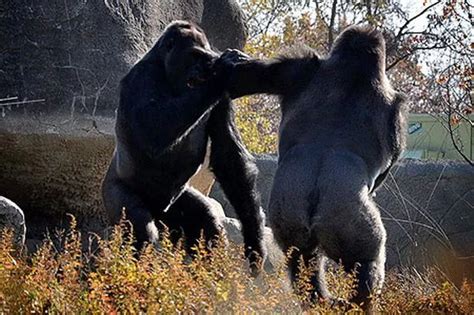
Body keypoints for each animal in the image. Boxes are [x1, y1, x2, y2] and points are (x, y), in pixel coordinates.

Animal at [103, 21, 266, 276]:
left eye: (205, 58)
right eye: (194, 56)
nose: (201, 72)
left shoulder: (222, 100)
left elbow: (230, 158)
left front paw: (254, 239)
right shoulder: (141, 77)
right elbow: (154, 130)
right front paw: (224, 71)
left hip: (172, 210)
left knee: (208, 225)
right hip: (112, 193)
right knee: (141, 229)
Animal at [220, 26, 410, 308]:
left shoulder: (295, 69)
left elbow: (239, 79)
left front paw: (230, 62)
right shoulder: (395, 110)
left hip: (288, 217)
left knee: (300, 259)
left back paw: (315, 298)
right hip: (346, 220)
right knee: (366, 261)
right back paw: (357, 303)